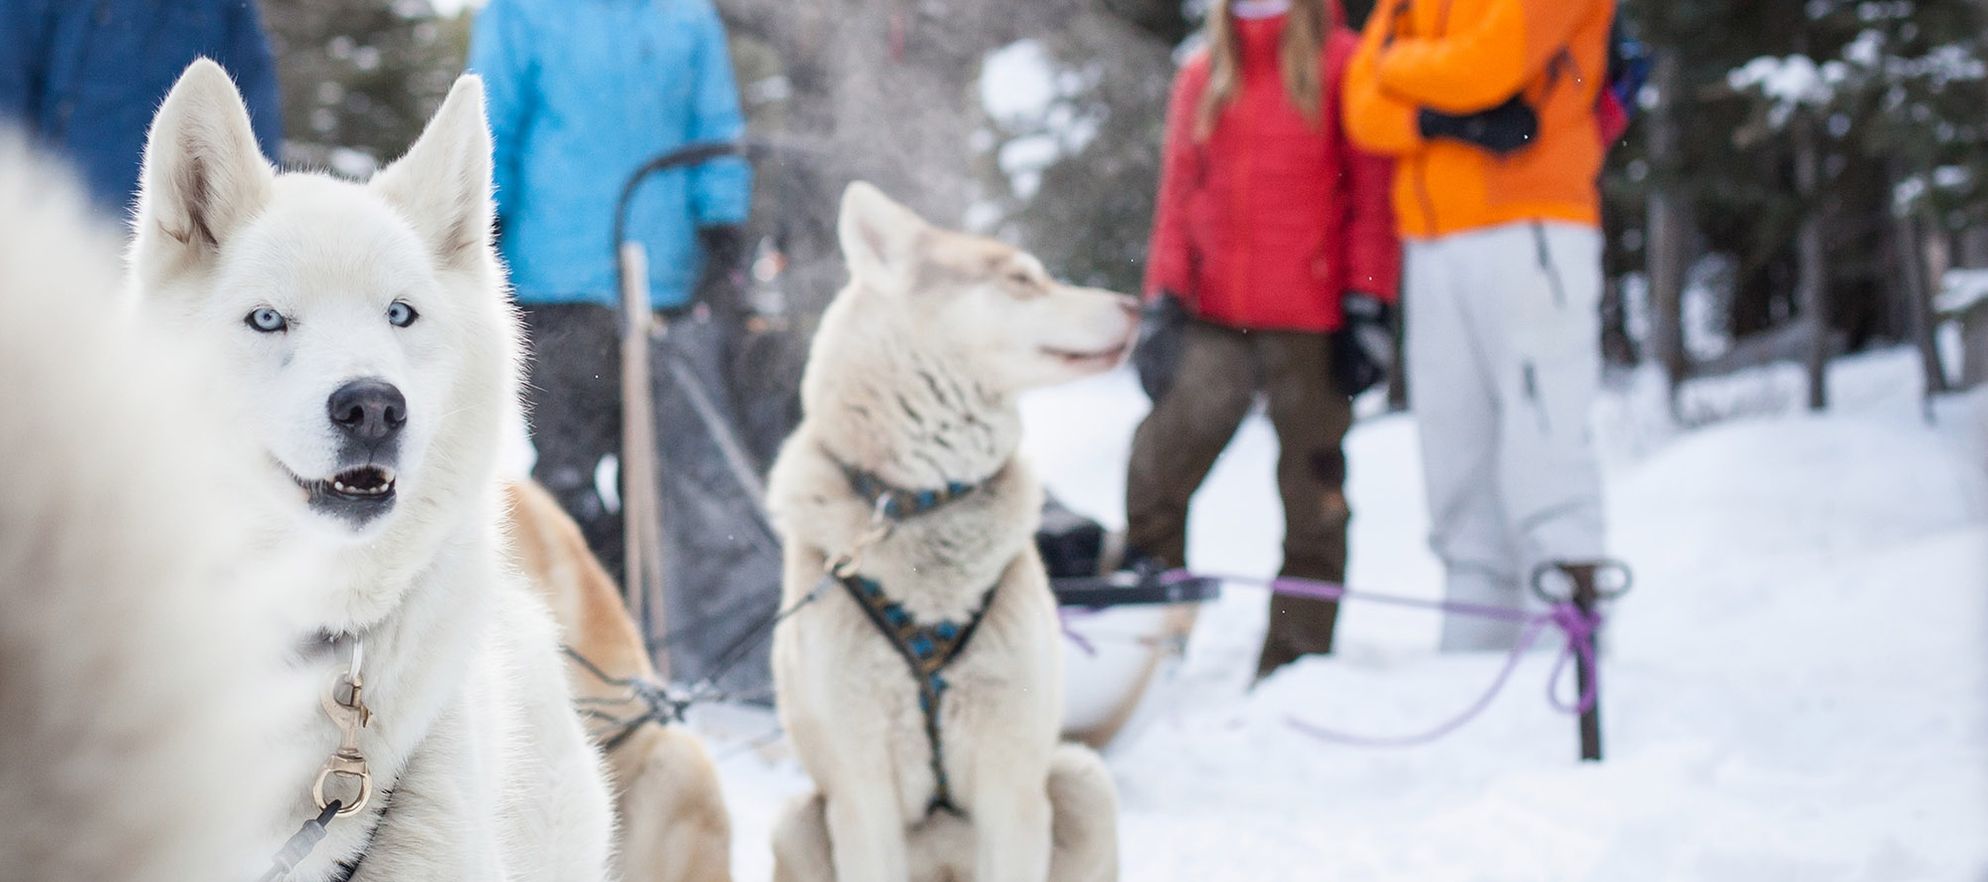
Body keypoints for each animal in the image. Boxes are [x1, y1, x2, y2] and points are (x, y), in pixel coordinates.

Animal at [763, 182, 1129, 878]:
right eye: (1021, 278)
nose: (1134, 303)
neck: (920, 503)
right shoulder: (861, 796)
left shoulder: (1013, 789)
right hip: (796, 817)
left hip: (1084, 779)